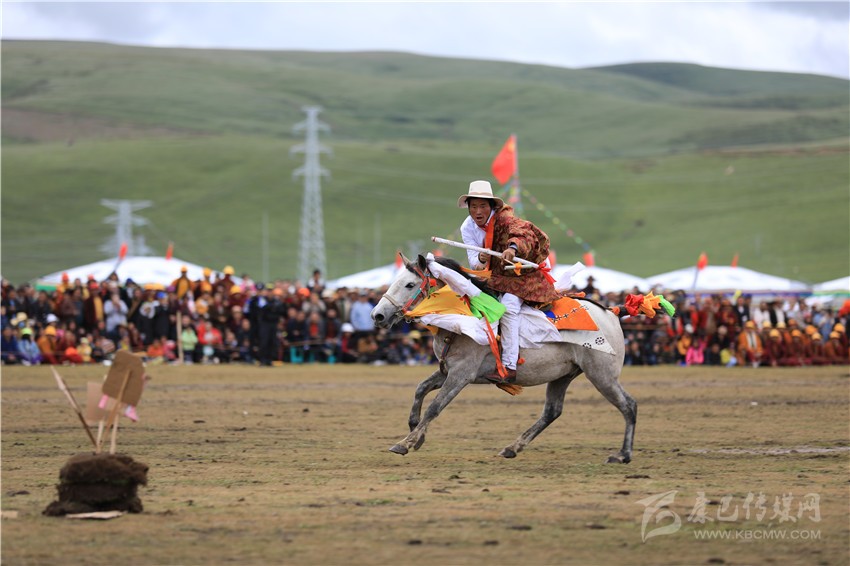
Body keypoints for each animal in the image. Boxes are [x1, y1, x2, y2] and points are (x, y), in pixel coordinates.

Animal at [371, 253, 637, 464]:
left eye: (408, 284)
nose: (377, 315)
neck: (462, 316)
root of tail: (612, 312)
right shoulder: (447, 370)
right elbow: (420, 389)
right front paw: (416, 433)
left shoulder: (461, 374)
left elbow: (435, 407)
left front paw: (405, 443)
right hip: (563, 376)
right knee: (552, 412)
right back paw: (512, 447)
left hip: (602, 375)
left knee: (629, 405)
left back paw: (623, 454)